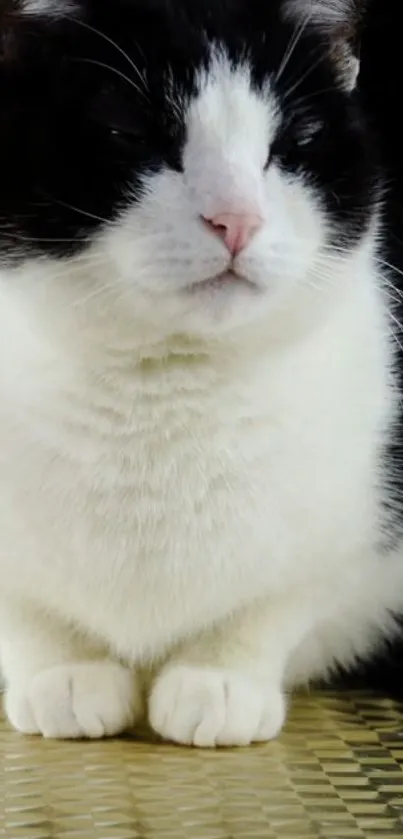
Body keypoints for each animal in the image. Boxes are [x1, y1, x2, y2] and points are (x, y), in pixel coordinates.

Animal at [0, 0, 400, 748]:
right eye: (128, 133)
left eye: (290, 145)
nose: (236, 219)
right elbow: (24, 607)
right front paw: (65, 674)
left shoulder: (345, 537)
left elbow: (280, 598)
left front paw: (217, 680)